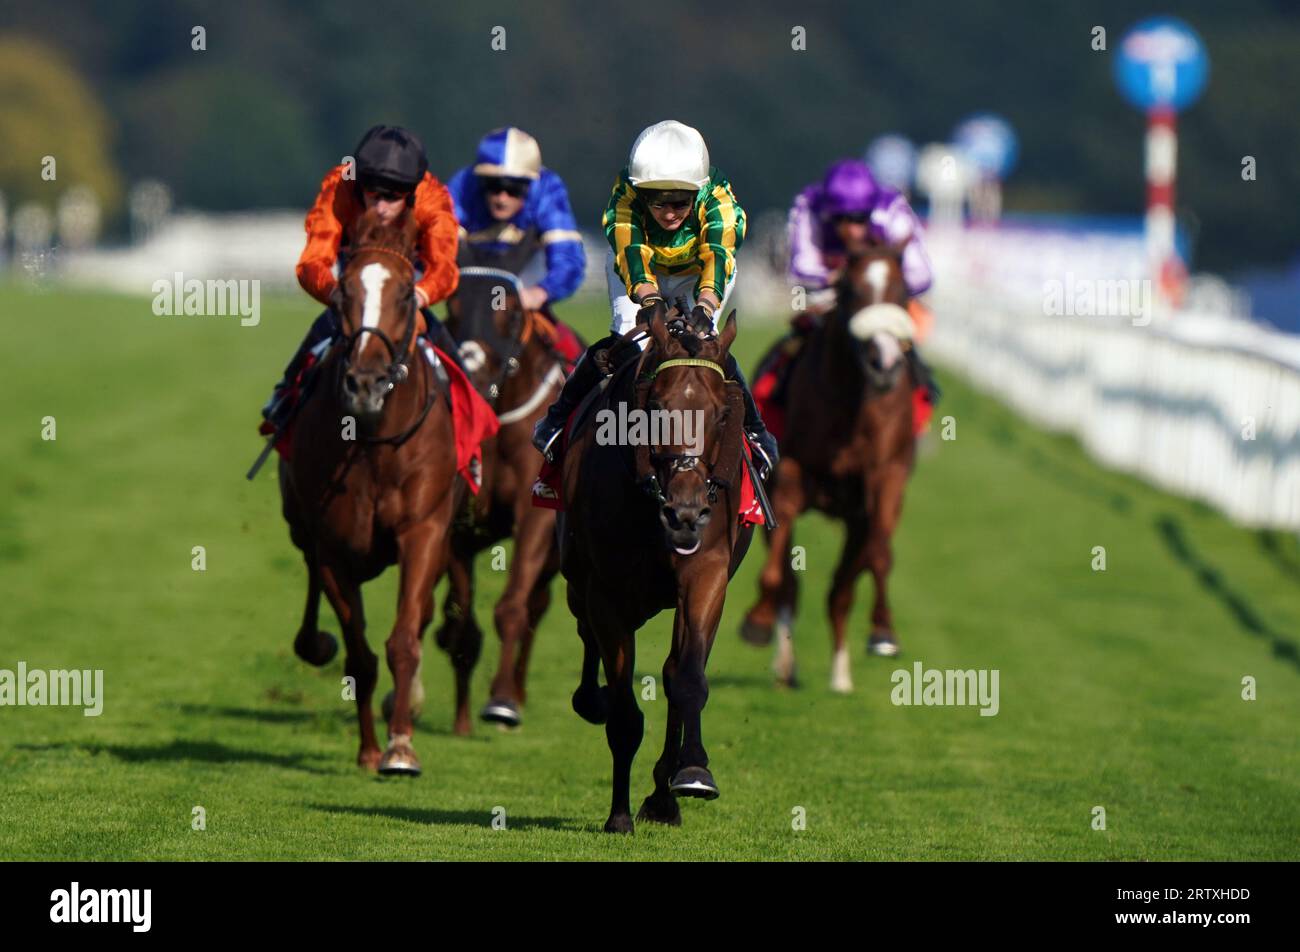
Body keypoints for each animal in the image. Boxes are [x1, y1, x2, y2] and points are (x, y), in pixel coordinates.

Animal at [279, 208, 462, 775]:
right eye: (343, 292)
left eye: (405, 294)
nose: (365, 383)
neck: (374, 444)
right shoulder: (334, 545)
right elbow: (359, 654)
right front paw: (368, 750)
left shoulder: (424, 529)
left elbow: (404, 639)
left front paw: (401, 747)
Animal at [436, 265, 574, 728]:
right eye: (452, 308)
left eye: (511, 313)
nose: (474, 375)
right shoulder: (456, 525)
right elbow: (461, 622)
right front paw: (461, 720)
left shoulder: (536, 518)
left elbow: (513, 606)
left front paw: (501, 701)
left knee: (536, 604)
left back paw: (516, 690)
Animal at [559, 304, 754, 832]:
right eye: (656, 408)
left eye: (723, 413)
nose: (685, 513)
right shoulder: (605, 593)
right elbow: (624, 713)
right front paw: (618, 815)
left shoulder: (706, 573)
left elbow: (685, 679)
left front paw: (691, 775)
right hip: (577, 580)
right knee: (585, 634)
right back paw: (591, 700)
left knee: (672, 671)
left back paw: (664, 792)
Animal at [738, 245, 920, 691]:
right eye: (851, 290)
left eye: (903, 290)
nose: (884, 363)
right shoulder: (788, 476)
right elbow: (779, 577)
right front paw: (758, 622)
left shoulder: (886, 478)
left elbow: (879, 555)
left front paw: (883, 632)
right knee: (791, 582)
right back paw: (785, 662)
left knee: (842, 590)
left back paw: (840, 675)